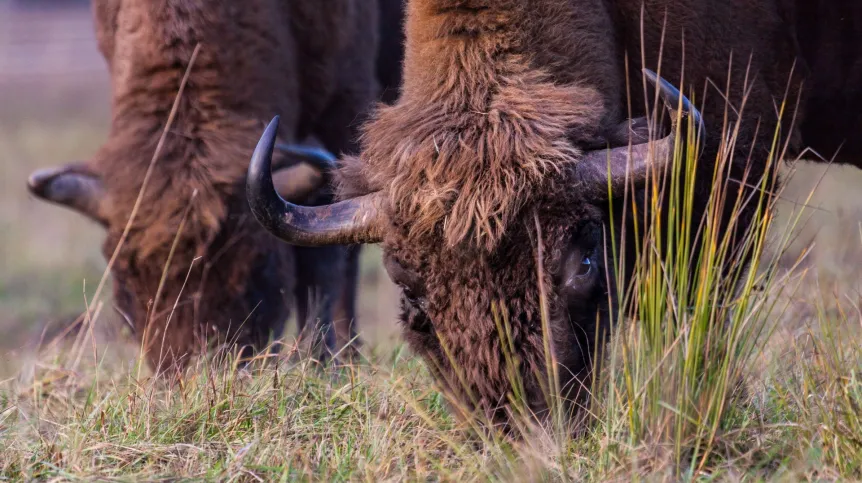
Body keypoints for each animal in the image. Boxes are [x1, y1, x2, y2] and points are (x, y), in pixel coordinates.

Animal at [26, 0, 402, 374]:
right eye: (124, 274)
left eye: (259, 267)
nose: (201, 368)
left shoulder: (343, 108)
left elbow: (324, 255)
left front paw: (323, 362)